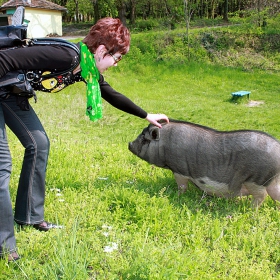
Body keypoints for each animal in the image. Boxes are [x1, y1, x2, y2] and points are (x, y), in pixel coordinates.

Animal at [129, 119, 280, 207]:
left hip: (256, 179)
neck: (165, 143)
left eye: (145, 139)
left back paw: (251, 211)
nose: (129, 144)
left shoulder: (180, 170)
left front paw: (176, 195)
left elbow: (182, 186)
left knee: (262, 196)